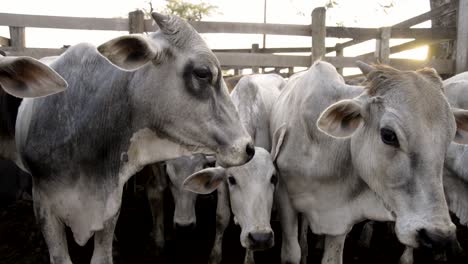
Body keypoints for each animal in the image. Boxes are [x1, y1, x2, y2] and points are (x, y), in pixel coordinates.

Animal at [268, 60, 468, 264]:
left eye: (449, 138)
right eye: (388, 135)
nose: (438, 237)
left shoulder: (341, 217)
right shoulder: (283, 197)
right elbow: (292, 252)